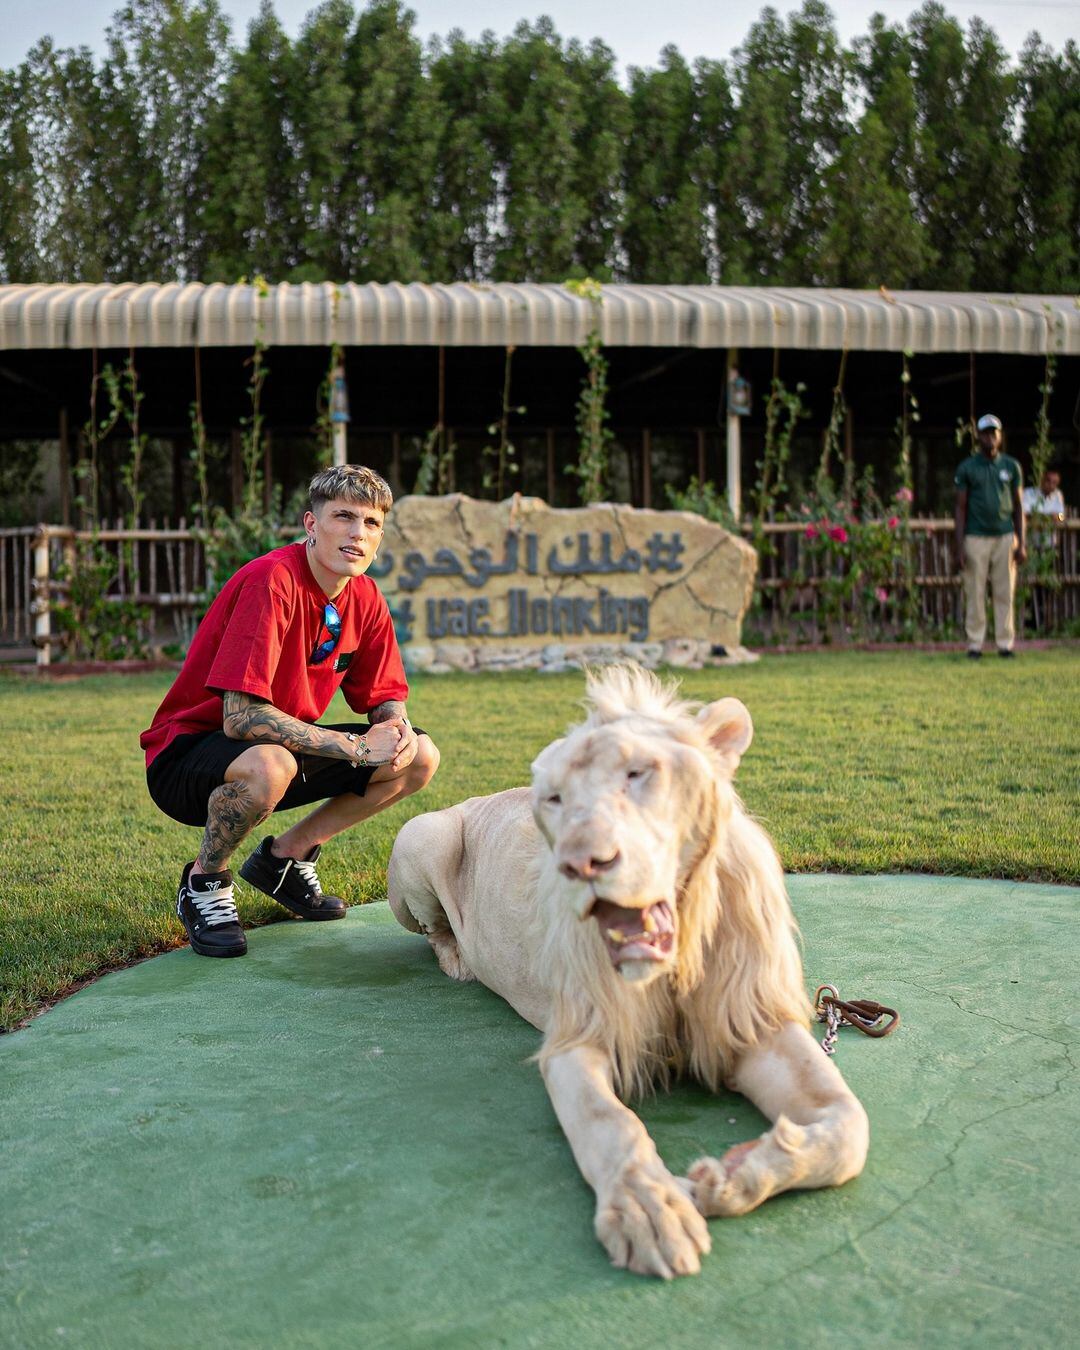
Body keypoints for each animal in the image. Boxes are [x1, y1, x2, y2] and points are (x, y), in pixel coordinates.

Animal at [388, 669, 869, 1279]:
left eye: (638, 772)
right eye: (555, 799)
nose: (579, 863)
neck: (675, 962)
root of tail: (475, 798)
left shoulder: (751, 1024)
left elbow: (849, 1127)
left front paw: (729, 1179)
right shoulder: (578, 1039)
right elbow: (608, 1122)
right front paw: (648, 1209)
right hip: (421, 834)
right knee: (433, 929)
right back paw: (458, 961)